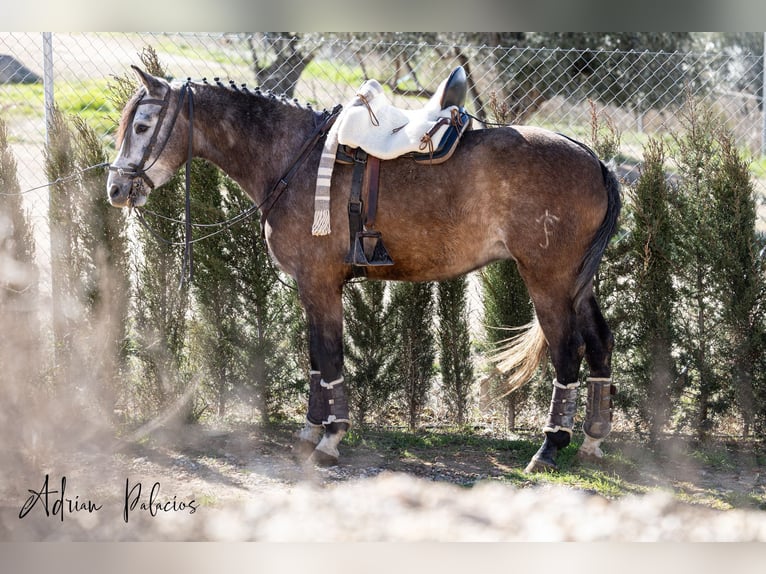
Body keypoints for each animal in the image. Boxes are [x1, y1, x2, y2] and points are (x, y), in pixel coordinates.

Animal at [106, 66, 621, 473]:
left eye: (143, 125)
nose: (115, 188)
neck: (294, 158)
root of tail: (595, 159)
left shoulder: (319, 284)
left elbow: (330, 356)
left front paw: (331, 441)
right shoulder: (311, 288)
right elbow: (316, 358)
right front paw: (310, 431)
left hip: (548, 281)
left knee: (568, 352)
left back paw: (550, 447)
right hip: (576, 284)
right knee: (599, 342)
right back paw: (592, 439)